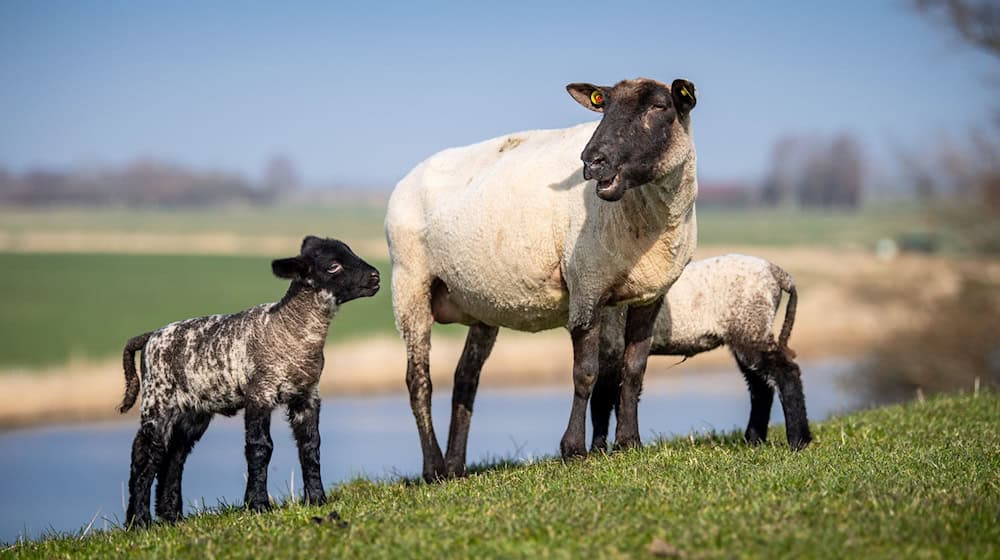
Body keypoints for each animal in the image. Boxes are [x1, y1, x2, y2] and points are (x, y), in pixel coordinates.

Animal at [117, 234, 380, 528]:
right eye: (333, 266)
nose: (376, 276)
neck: (289, 330)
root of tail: (150, 336)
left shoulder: (308, 394)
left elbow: (311, 446)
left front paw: (316, 499)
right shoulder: (260, 392)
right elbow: (260, 447)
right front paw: (258, 504)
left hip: (192, 412)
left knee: (173, 457)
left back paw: (172, 517)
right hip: (158, 400)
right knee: (145, 454)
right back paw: (138, 521)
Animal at [592, 256, 812, 452]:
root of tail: (776, 272)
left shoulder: (612, 347)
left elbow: (602, 401)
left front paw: (601, 450)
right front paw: (602, 449)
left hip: (750, 324)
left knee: (786, 372)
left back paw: (798, 440)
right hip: (747, 331)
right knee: (761, 386)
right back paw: (754, 440)